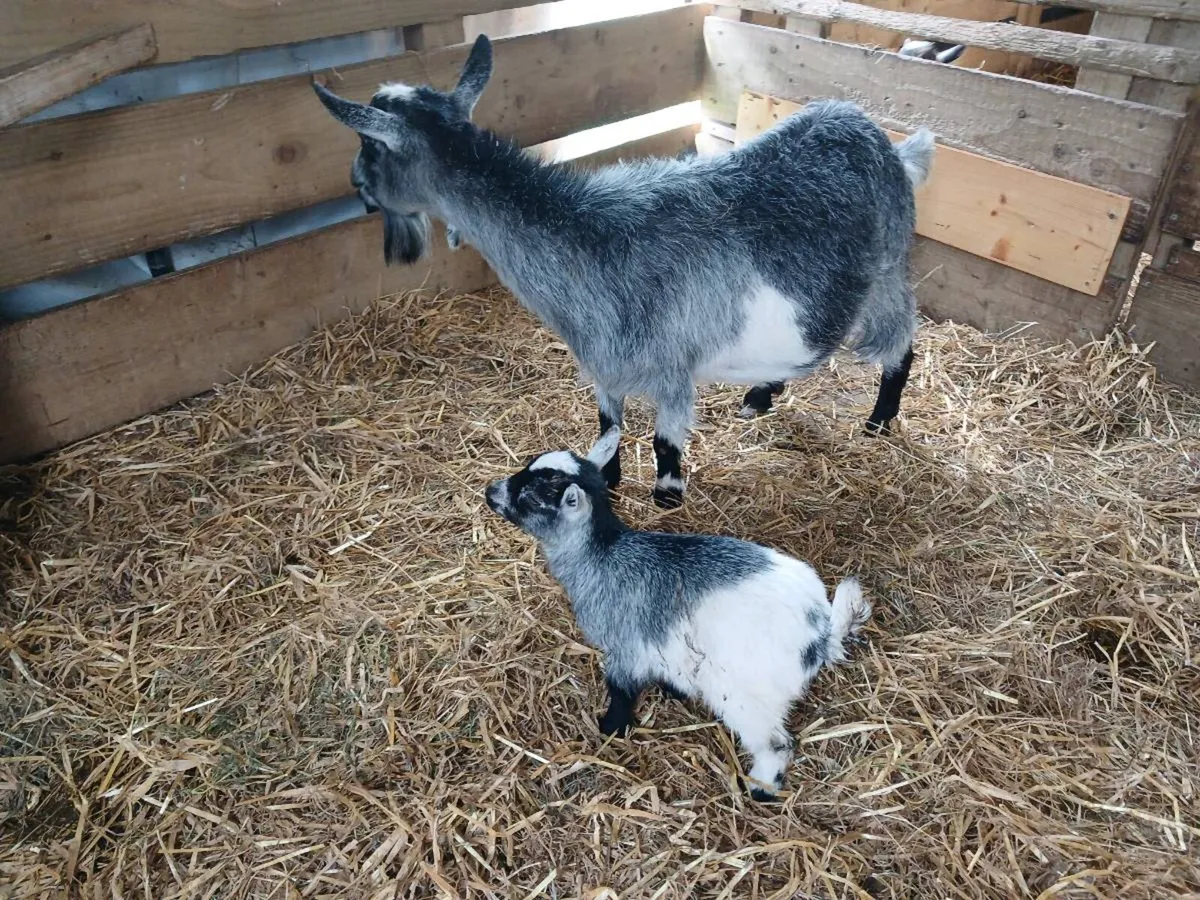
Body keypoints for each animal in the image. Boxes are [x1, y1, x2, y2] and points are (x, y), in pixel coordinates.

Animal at [313, 34, 934, 507]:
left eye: (368, 146)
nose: (356, 189)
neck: (592, 240)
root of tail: (886, 142)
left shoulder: (671, 367)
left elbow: (663, 444)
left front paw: (666, 495)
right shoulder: (604, 361)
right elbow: (608, 425)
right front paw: (606, 480)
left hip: (887, 270)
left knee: (900, 342)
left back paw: (880, 420)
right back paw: (760, 396)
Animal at [484, 427, 872, 799]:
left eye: (529, 498)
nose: (490, 490)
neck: (602, 558)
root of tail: (819, 631)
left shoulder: (625, 644)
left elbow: (621, 688)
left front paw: (610, 727)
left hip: (747, 696)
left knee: (776, 743)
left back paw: (761, 788)